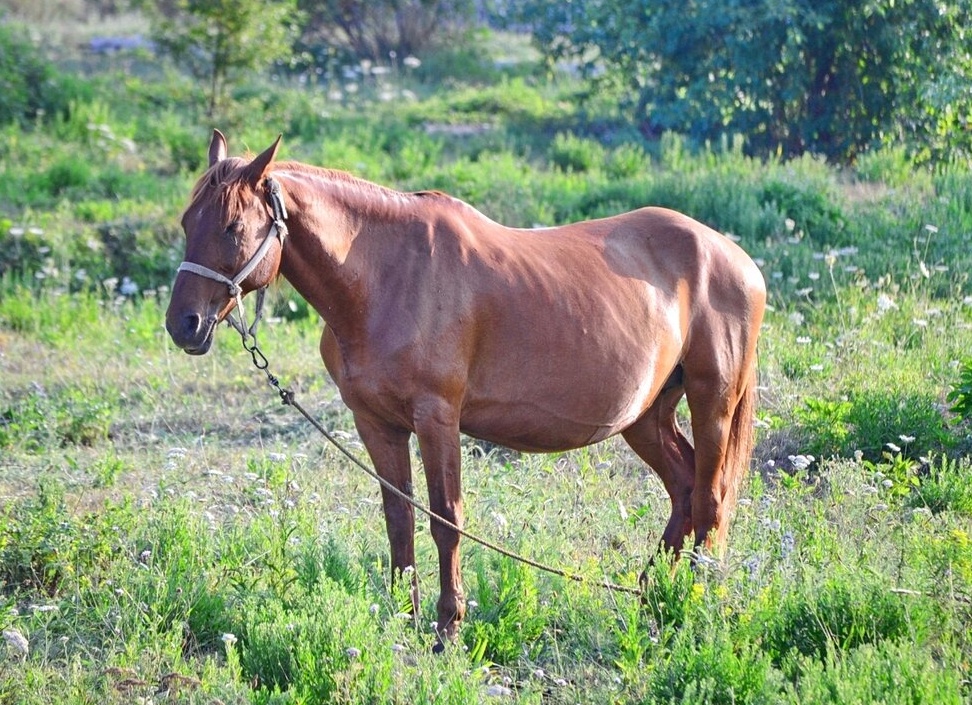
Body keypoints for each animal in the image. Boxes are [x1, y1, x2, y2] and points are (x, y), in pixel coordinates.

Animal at [165, 130, 766, 647]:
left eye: (232, 227)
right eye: (187, 220)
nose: (183, 325)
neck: (385, 276)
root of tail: (735, 258)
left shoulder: (437, 417)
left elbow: (446, 518)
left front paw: (447, 627)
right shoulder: (376, 424)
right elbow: (399, 517)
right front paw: (400, 619)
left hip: (713, 401)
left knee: (710, 499)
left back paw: (693, 602)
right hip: (644, 416)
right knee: (683, 487)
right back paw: (652, 597)